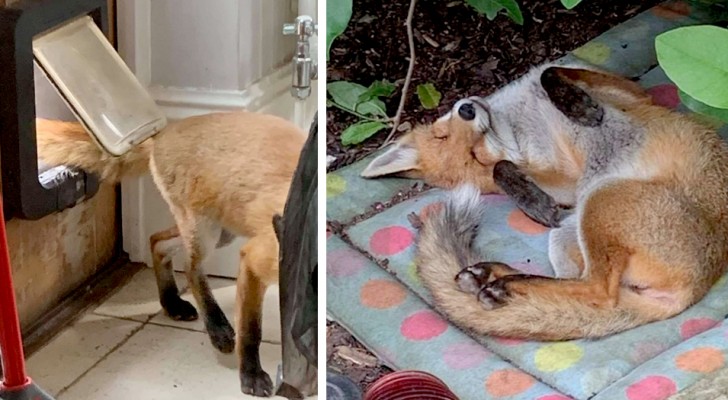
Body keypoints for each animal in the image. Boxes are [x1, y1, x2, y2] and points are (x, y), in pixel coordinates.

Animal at [34, 111, 308, 396]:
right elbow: (251, 331)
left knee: (156, 242)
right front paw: (251, 375)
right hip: (207, 233)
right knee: (190, 269)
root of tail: (163, 132)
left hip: (221, 233)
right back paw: (216, 325)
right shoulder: (255, 259)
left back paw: (171, 301)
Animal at [366, 64, 728, 340]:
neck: (518, 122)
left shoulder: (625, 91)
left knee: (590, 292)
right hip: (594, 206)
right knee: (597, 292)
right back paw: (498, 280)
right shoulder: (569, 185)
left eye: (447, 136)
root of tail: (694, 289)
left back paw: (498, 281)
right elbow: (503, 169)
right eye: (476, 156)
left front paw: (578, 106)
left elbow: (550, 73)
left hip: (584, 216)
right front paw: (530, 199)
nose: (467, 109)